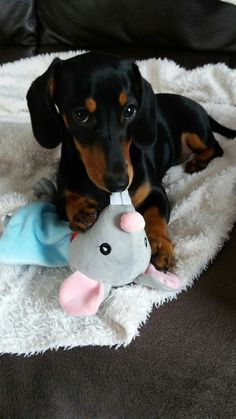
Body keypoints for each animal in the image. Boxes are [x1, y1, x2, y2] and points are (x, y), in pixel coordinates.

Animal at [26, 51, 236, 272]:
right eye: (80, 114)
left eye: (129, 110)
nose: (119, 184)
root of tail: (199, 106)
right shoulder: (61, 196)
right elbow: (68, 200)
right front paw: (80, 210)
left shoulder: (156, 192)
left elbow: (155, 217)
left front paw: (161, 246)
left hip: (195, 131)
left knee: (216, 147)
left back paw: (198, 162)